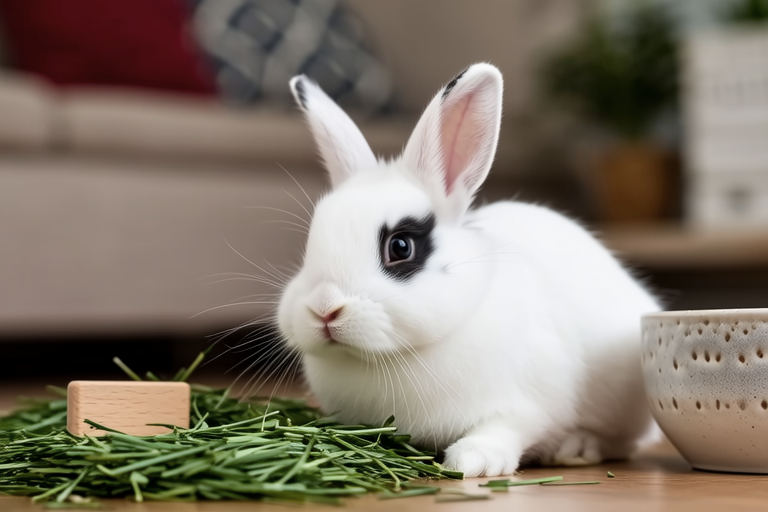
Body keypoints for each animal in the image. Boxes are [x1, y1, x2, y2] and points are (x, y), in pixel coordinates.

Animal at [276, 63, 661, 477]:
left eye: (400, 247)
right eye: (310, 245)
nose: (324, 309)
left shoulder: (528, 405)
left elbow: (507, 427)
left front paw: (473, 460)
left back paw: (576, 448)